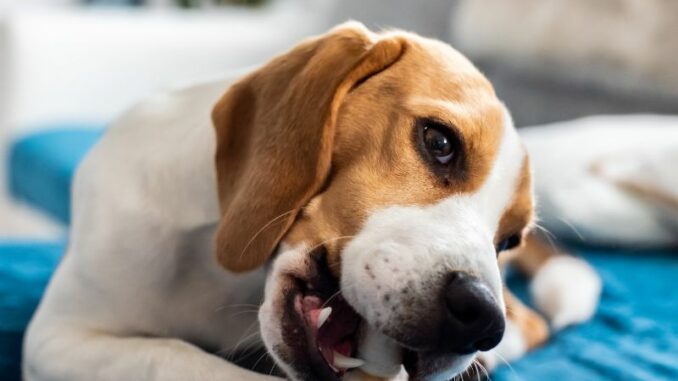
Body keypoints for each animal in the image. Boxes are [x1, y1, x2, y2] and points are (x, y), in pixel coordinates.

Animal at [22, 23, 600, 380]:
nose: (481, 320)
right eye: (439, 142)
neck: (226, 278)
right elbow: (172, 354)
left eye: (509, 239)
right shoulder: (57, 339)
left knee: (533, 324)